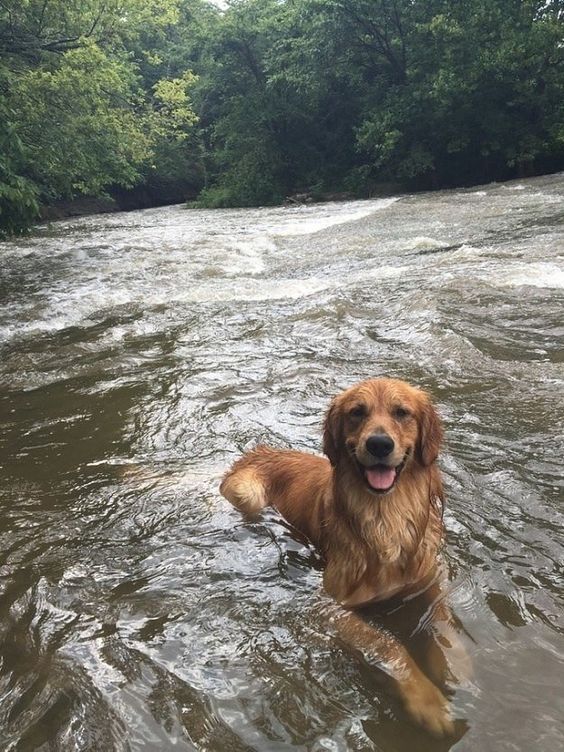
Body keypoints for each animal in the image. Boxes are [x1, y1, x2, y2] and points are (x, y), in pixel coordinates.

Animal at [219, 378, 462, 732]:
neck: (385, 518)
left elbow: (444, 623)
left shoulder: (427, 580)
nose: (379, 444)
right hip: (248, 494)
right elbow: (388, 644)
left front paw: (455, 665)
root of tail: (257, 452)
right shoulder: (330, 606)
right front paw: (426, 700)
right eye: (357, 412)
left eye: (402, 412)